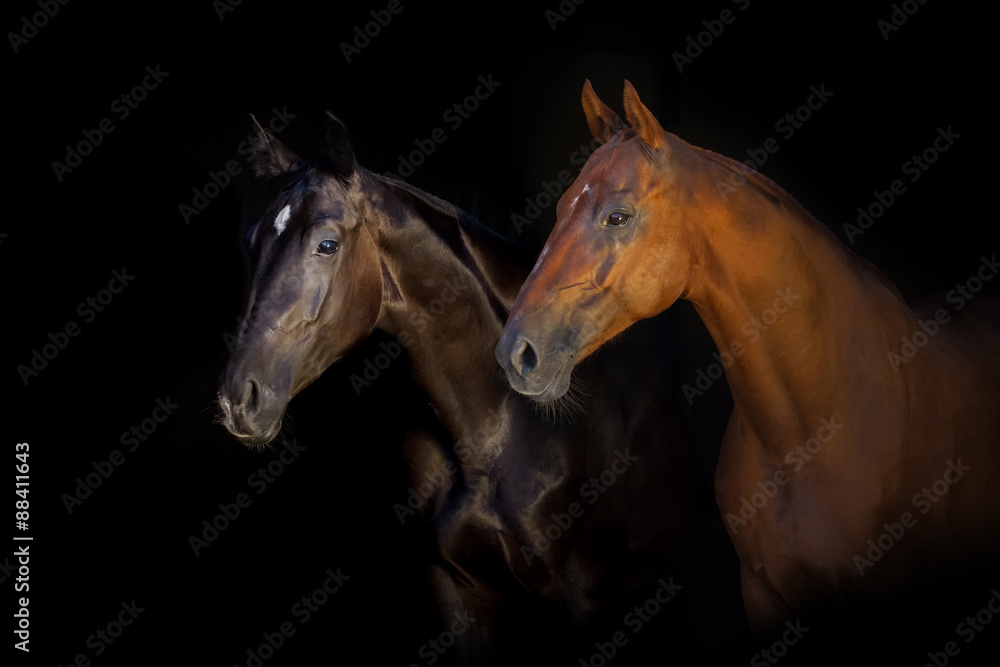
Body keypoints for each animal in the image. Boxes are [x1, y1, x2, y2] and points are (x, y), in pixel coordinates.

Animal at [217, 111, 709, 661]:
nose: (238, 399)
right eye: (252, 237)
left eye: (327, 244)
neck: (496, 430)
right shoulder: (458, 593)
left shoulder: (589, 597)